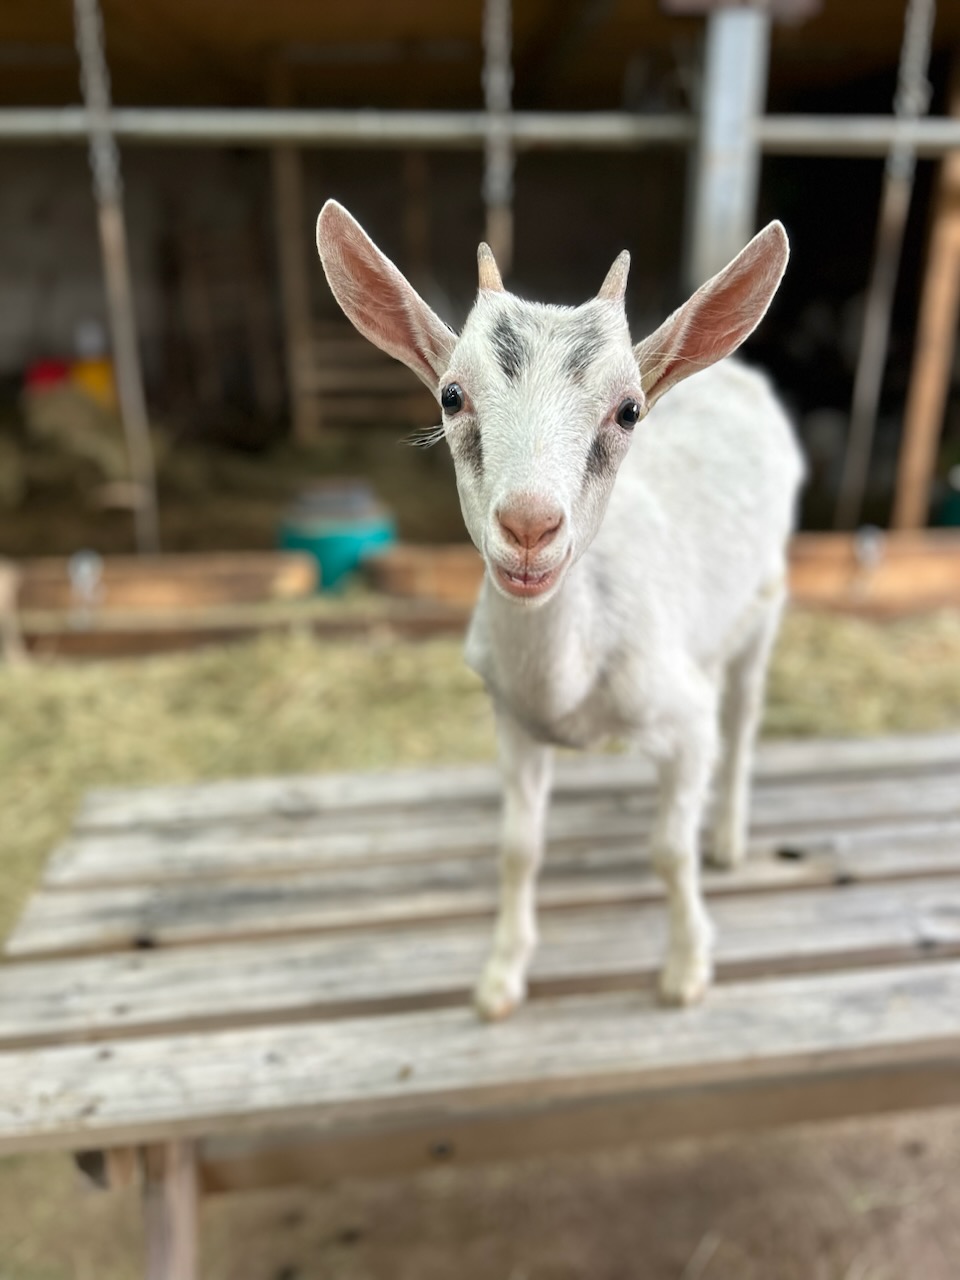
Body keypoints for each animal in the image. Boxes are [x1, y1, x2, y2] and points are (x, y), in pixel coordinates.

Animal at [317, 201, 804, 1018]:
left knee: (743, 715)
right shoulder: (513, 720)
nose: (529, 527)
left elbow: (669, 848)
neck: (571, 680)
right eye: (452, 395)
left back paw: (728, 836)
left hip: (765, 602)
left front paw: (686, 968)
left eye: (629, 410)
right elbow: (519, 848)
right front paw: (500, 978)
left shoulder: (681, 718)